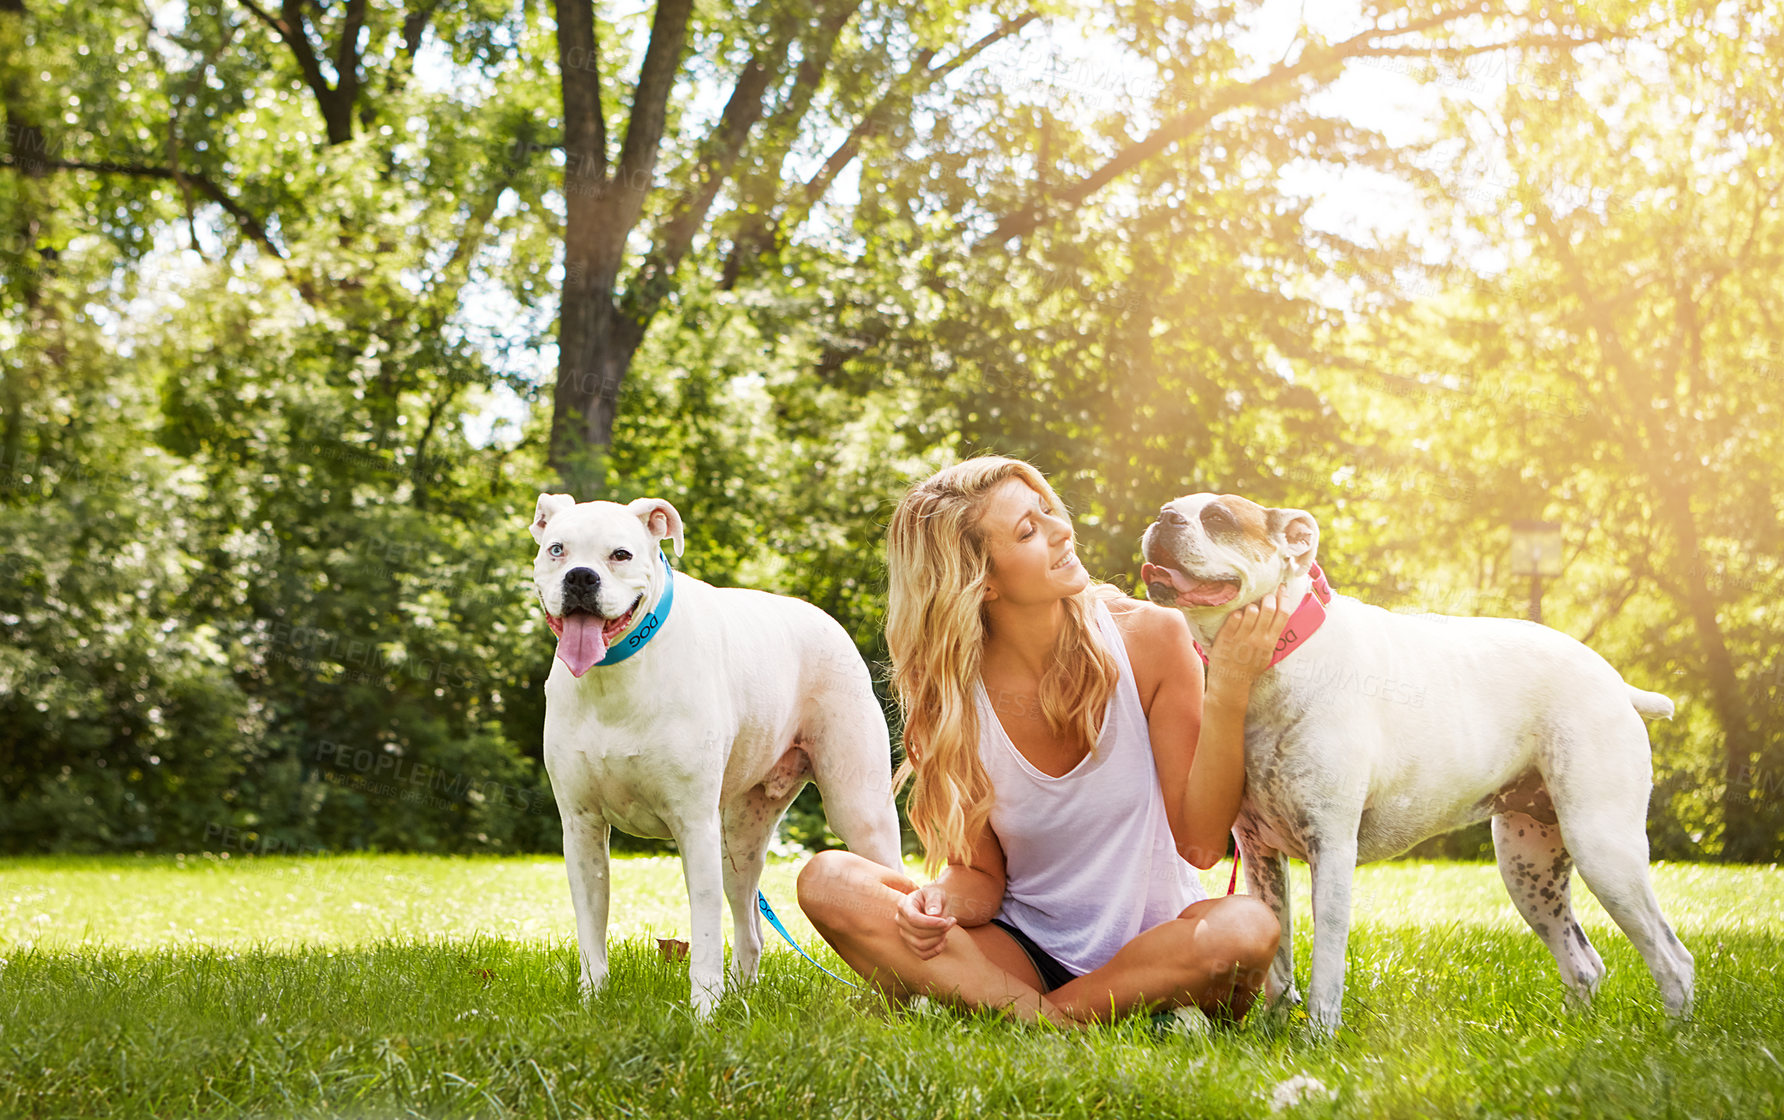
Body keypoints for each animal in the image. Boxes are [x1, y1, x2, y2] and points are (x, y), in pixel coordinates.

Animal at [520, 488, 899, 1012]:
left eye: (621, 554)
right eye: (557, 549)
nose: (580, 577)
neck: (616, 674)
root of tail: (823, 618)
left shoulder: (693, 825)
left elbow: (703, 933)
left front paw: (702, 1011)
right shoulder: (582, 829)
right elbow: (591, 929)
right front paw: (591, 1001)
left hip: (860, 816)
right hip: (739, 840)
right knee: (751, 927)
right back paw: (741, 995)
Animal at [1134, 495, 1691, 1034]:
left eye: (1218, 517)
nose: (1164, 516)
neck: (1269, 667)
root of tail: (1616, 682)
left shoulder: (1330, 847)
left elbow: (1326, 962)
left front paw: (1317, 1036)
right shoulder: (1259, 854)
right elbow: (1279, 962)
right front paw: (1272, 1030)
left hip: (1603, 849)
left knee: (1672, 958)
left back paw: (1674, 1037)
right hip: (1530, 866)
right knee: (1583, 962)